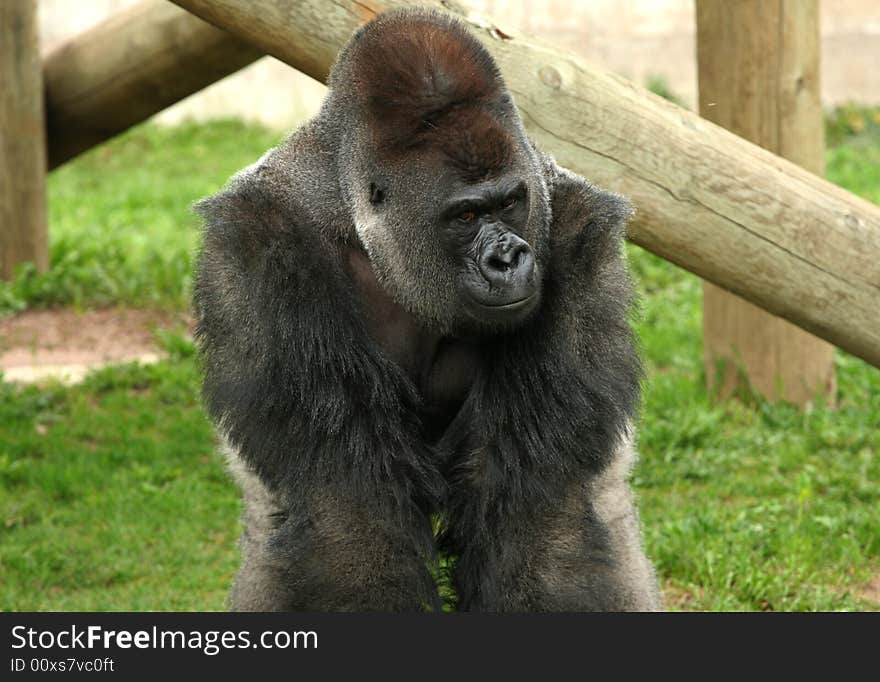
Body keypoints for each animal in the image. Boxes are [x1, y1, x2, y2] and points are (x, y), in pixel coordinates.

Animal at [192, 6, 660, 612]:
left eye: (511, 202)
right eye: (465, 217)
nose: (508, 258)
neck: (354, 215)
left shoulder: (578, 233)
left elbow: (541, 508)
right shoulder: (261, 247)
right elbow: (346, 513)